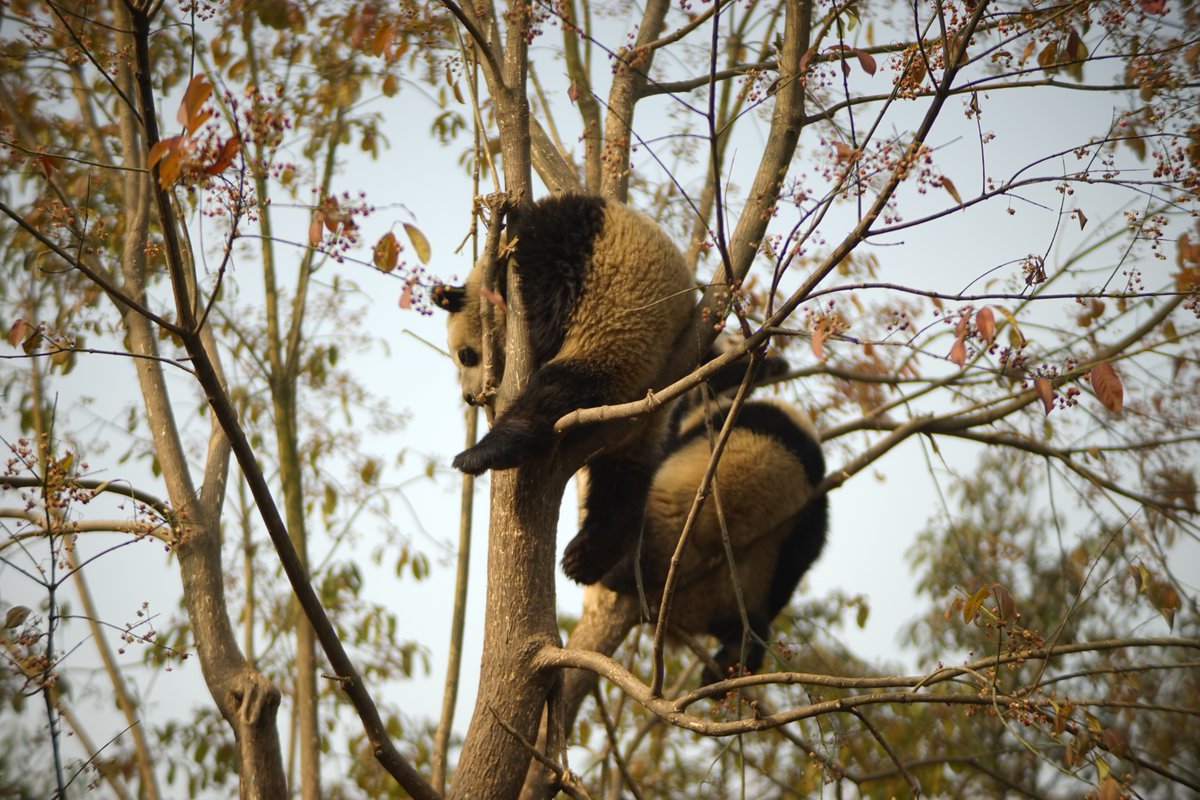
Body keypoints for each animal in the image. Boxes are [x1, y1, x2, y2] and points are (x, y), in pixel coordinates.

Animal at [432, 194, 696, 582]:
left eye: (466, 355)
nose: (469, 397)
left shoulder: (563, 240)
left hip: (621, 340)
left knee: (556, 392)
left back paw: (487, 452)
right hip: (640, 412)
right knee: (622, 477)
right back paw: (591, 553)